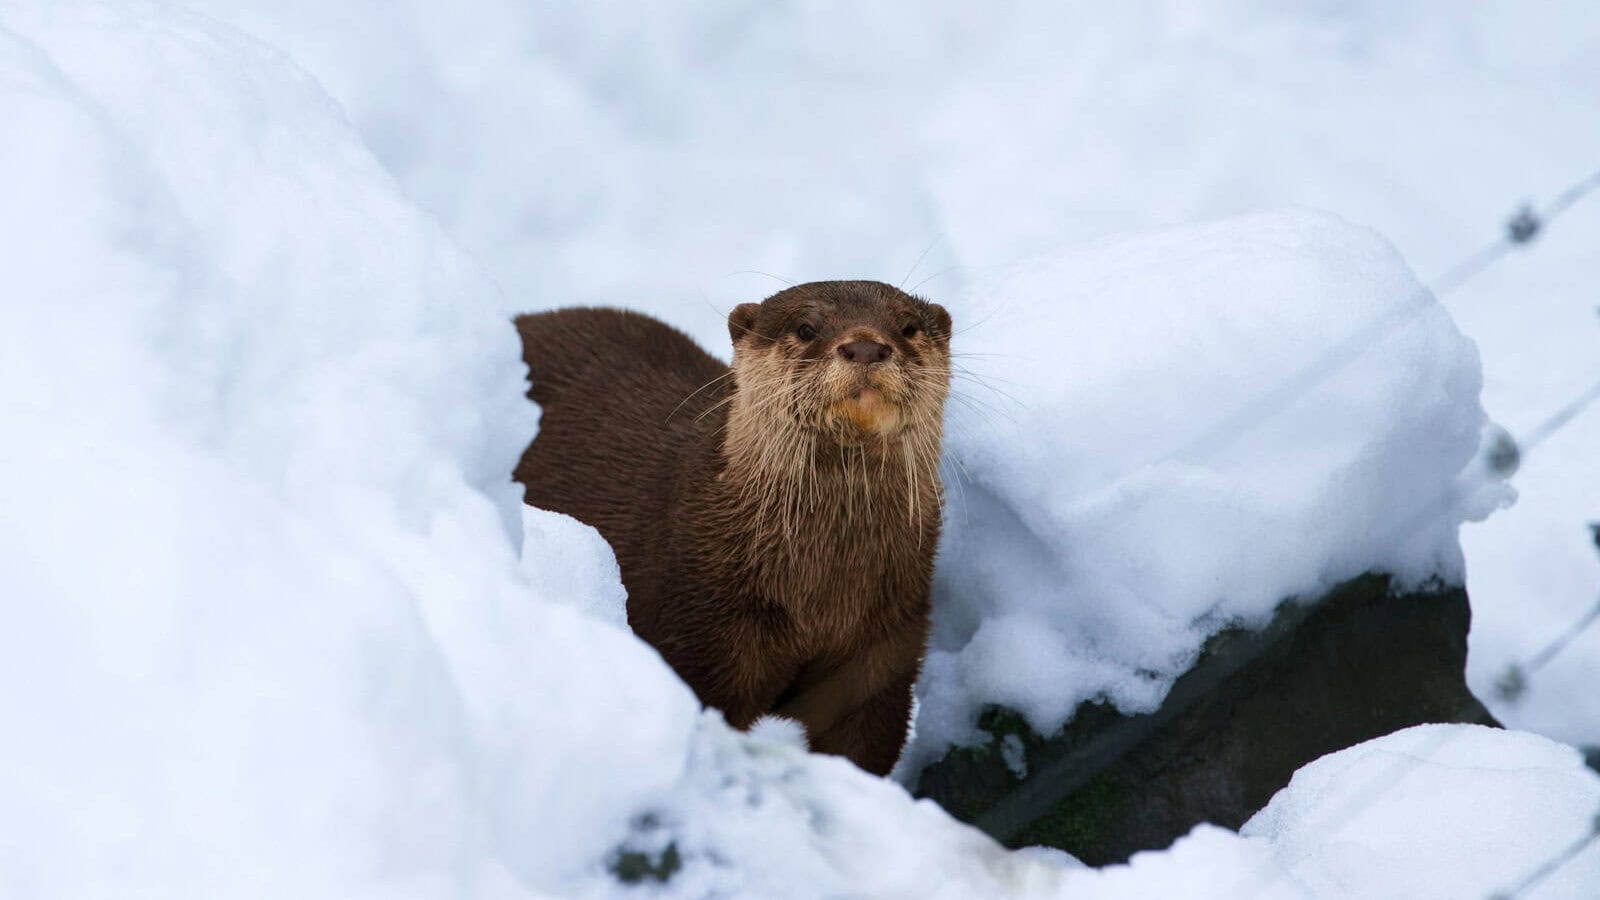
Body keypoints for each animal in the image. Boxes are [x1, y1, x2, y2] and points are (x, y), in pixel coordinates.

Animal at [513, 280, 951, 775]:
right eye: (806, 327)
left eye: (908, 326)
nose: (865, 346)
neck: (817, 595)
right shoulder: (701, 632)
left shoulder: (885, 641)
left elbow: (865, 740)